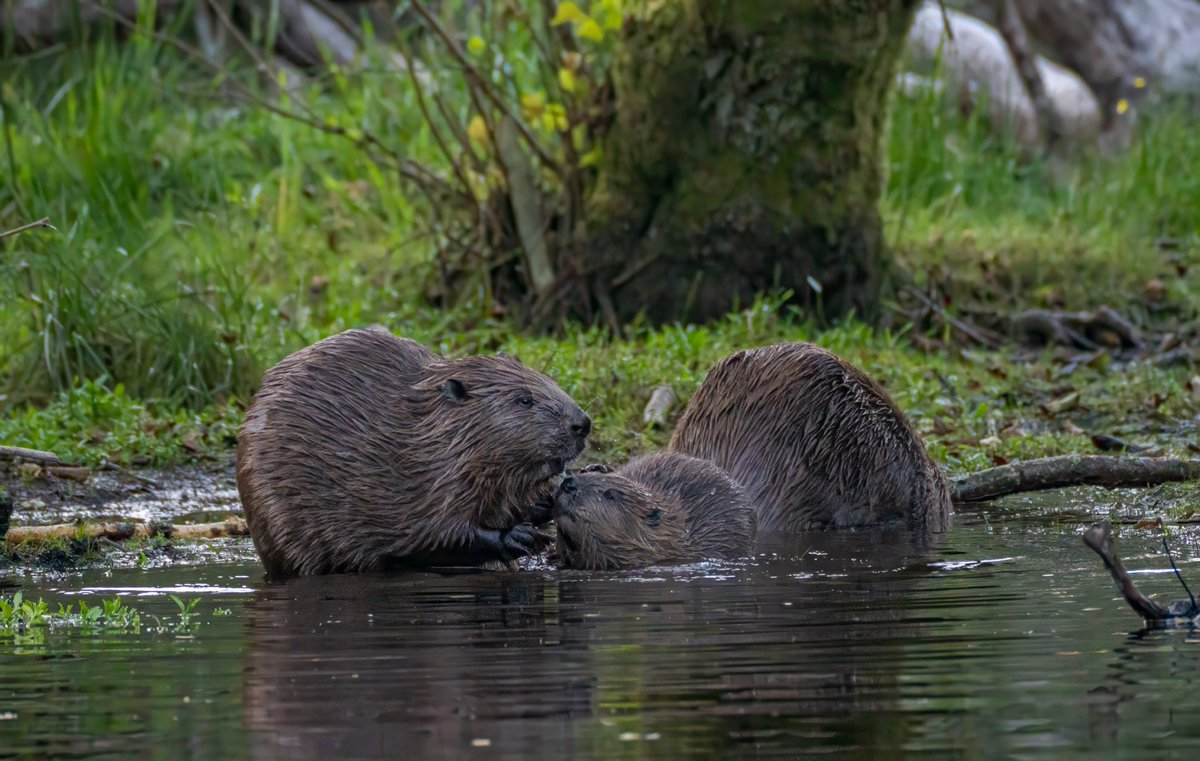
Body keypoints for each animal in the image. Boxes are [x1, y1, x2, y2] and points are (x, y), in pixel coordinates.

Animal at [236, 326, 592, 573]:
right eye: (525, 399)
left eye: (550, 380)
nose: (583, 423)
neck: (433, 436)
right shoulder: (419, 485)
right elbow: (434, 534)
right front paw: (519, 537)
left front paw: (553, 498)